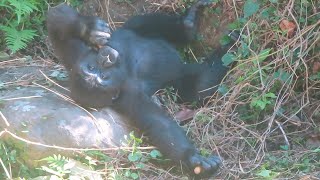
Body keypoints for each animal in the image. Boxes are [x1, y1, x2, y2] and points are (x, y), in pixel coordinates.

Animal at [47, 0, 228, 179]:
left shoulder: (75, 55)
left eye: (93, 69)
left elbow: (57, 22)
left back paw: (186, 23)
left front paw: (89, 29)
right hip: (180, 78)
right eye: (103, 77)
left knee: (147, 24)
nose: (105, 59)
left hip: (135, 26)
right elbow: (161, 125)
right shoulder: (130, 97)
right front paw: (193, 160)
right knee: (197, 89)